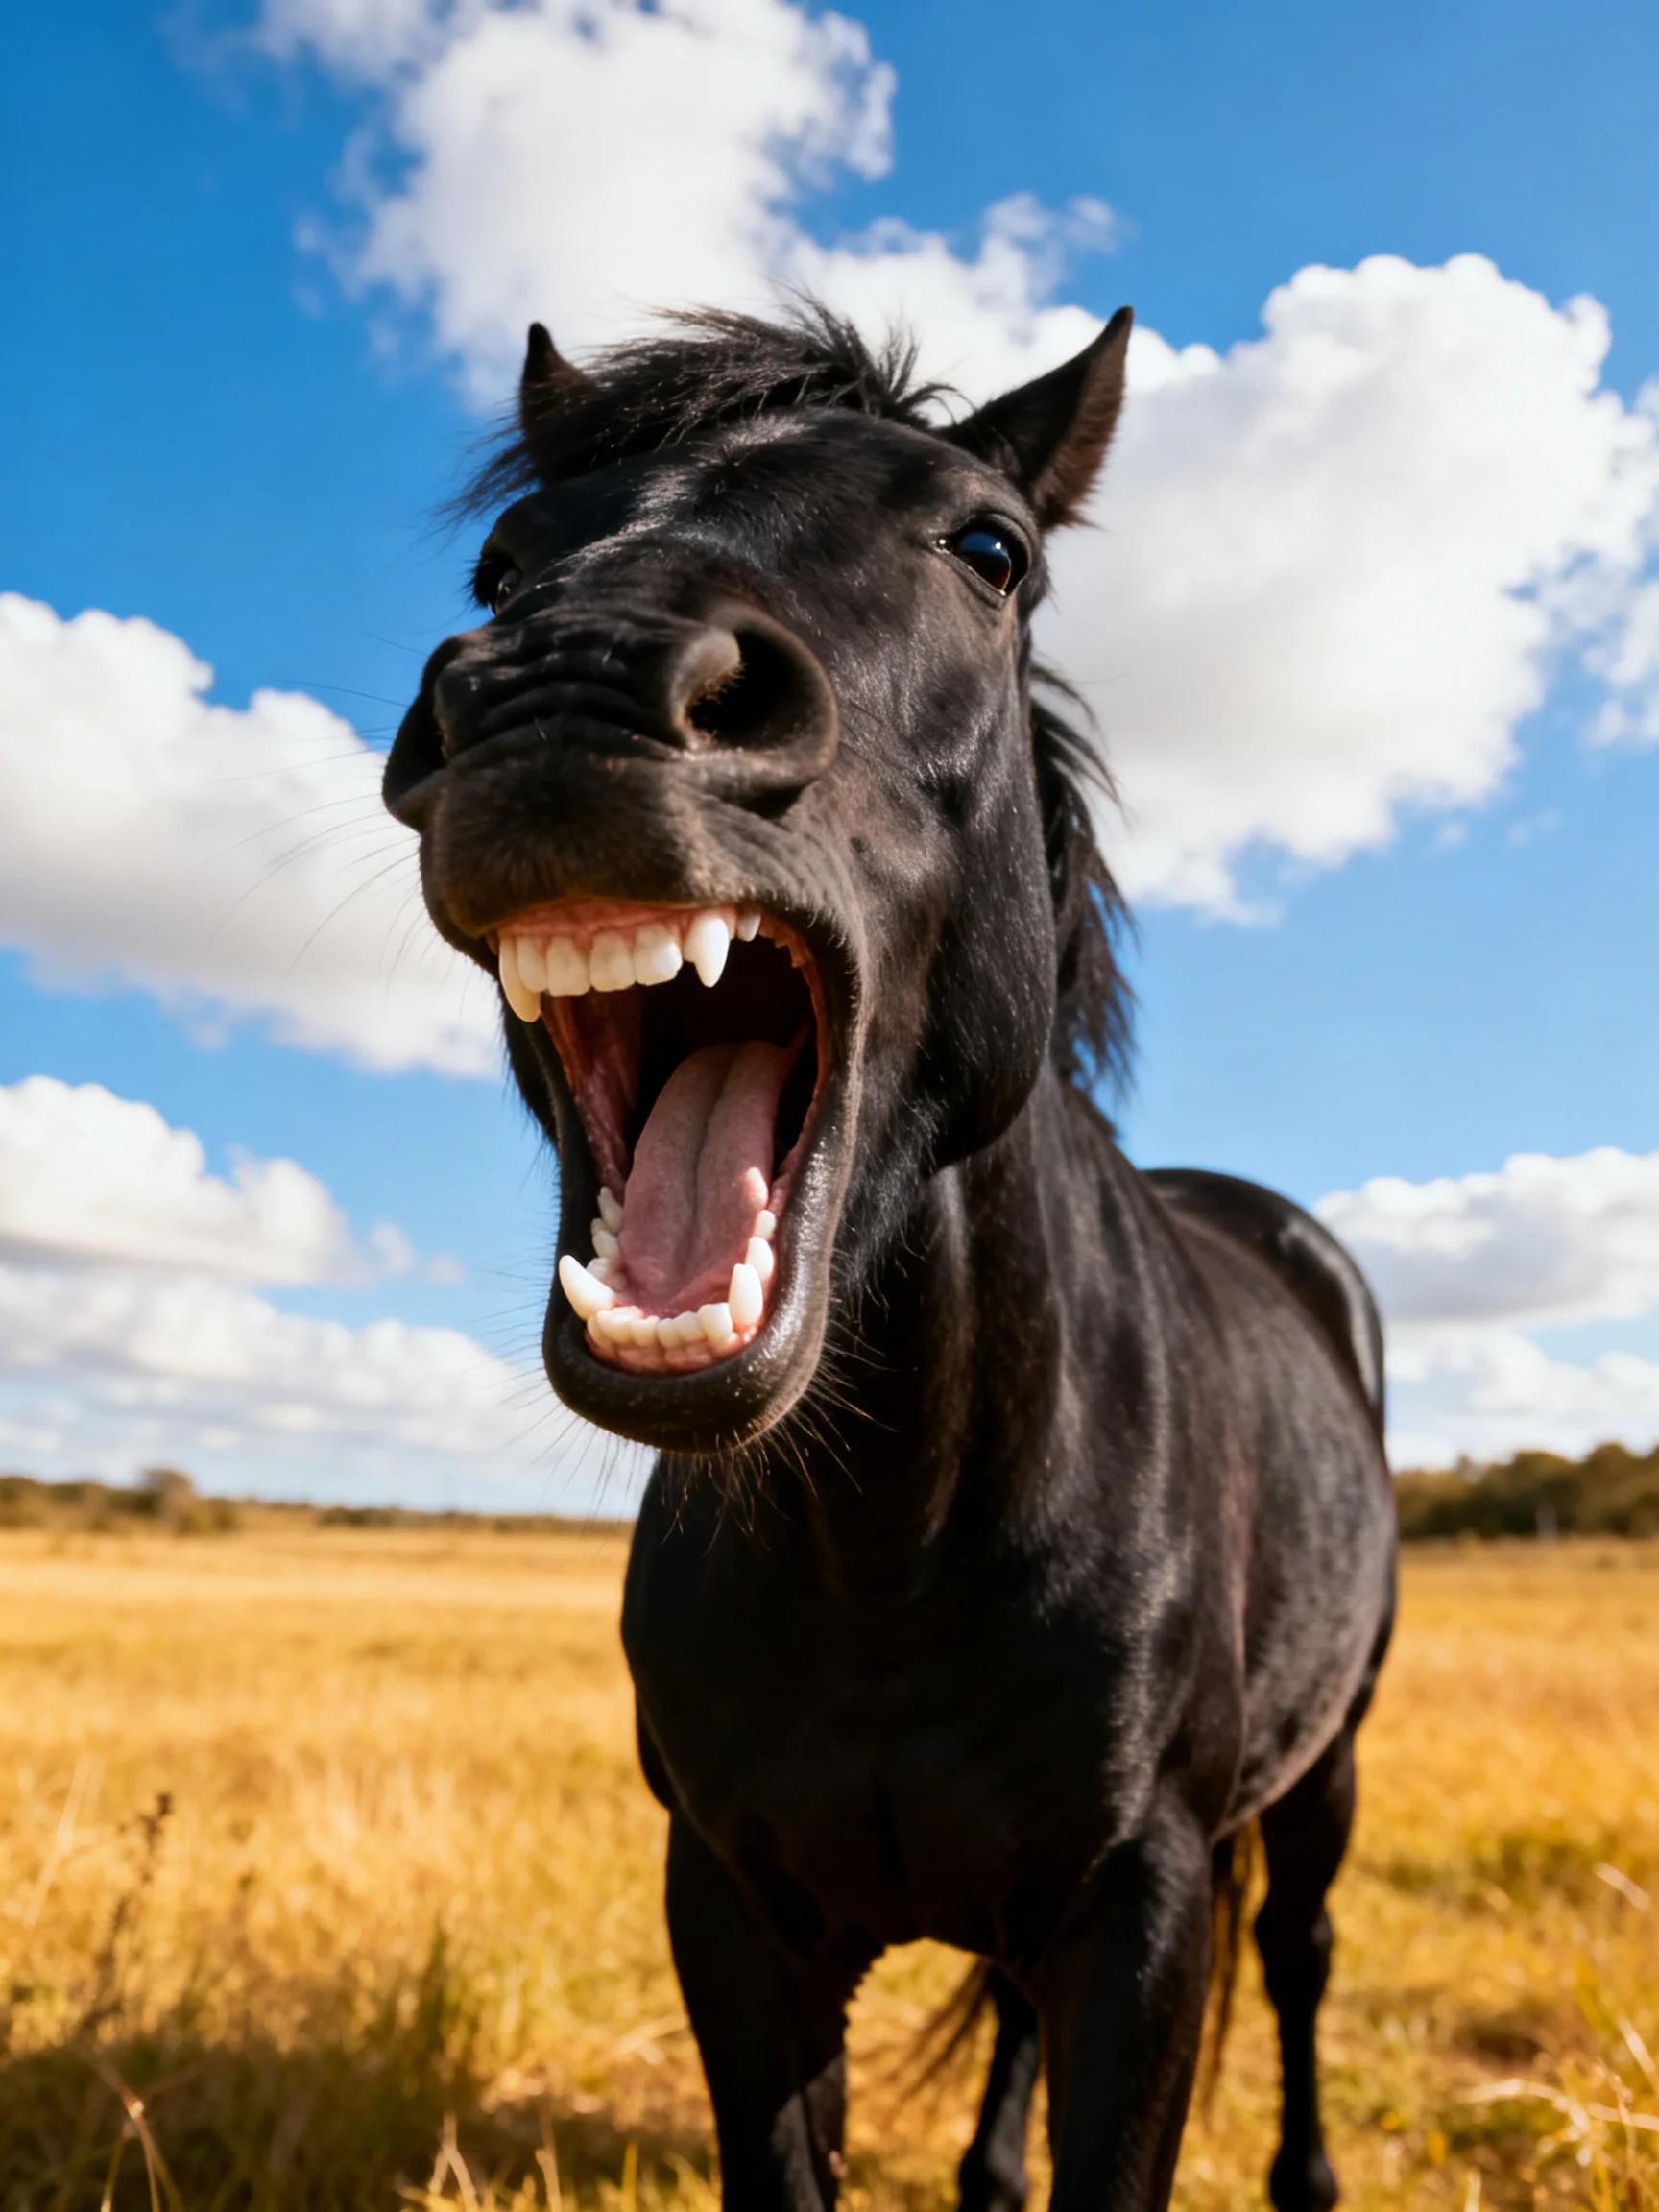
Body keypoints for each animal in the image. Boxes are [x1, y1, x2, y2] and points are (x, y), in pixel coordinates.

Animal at [384, 303, 1397, 2212]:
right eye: (506, 562)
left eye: (988, 551)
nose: (571, 690)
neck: (889, 1546)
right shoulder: (733, 1909)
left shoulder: (1142, 1911)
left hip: (1323, 1770)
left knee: (1301, 1956)